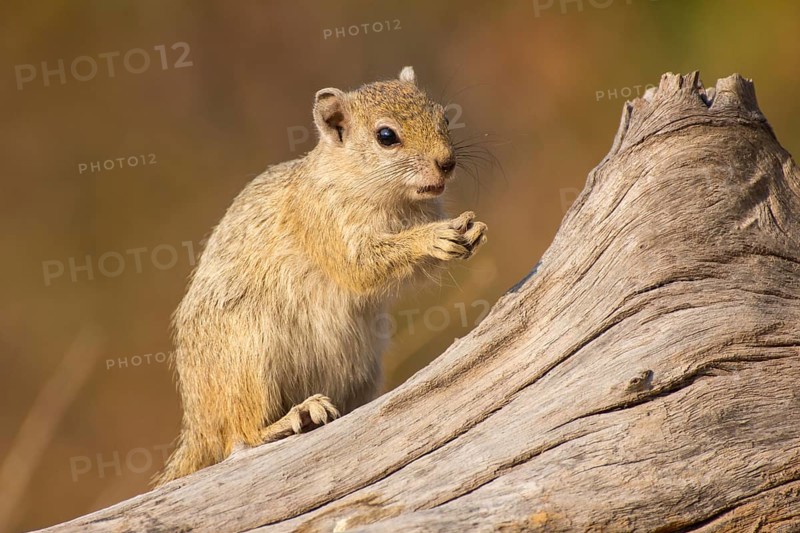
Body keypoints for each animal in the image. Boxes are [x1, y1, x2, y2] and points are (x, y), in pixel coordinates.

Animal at [154, 66, 487, 485]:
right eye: (386, 136)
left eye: (444, 117)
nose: (447, 162)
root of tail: (198, 421)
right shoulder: (323, 222)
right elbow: (361, 268)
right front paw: (431, 238)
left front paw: (471, 232)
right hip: (250, 356)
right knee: (241, 435)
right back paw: (295, 416)